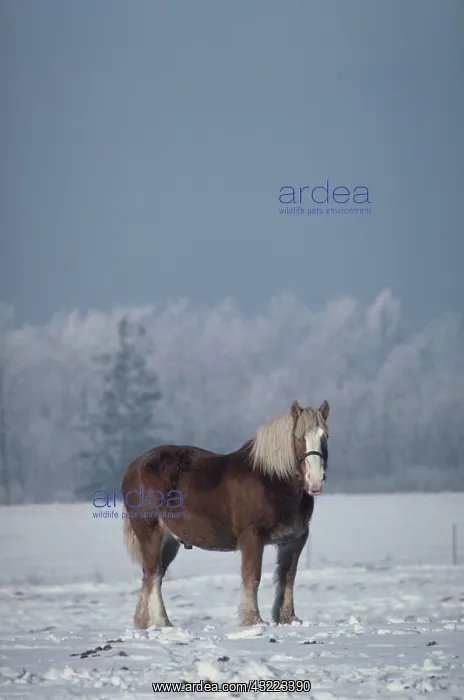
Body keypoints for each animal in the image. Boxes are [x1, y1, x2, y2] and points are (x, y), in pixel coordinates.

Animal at [121, 399, 330, 628]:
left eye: (324, 437)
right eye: (299, 438)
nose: (315, 481)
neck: (272, 479)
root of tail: (134, 467)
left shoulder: (294, 540)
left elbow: (288, 578)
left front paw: (288, 619)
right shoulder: (252, 536)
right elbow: (252, 576)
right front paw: (253, 619)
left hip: (169, 540)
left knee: (151, 576)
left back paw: (145, 622)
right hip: (150, 531)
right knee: (153, 574)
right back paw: (162, 621)